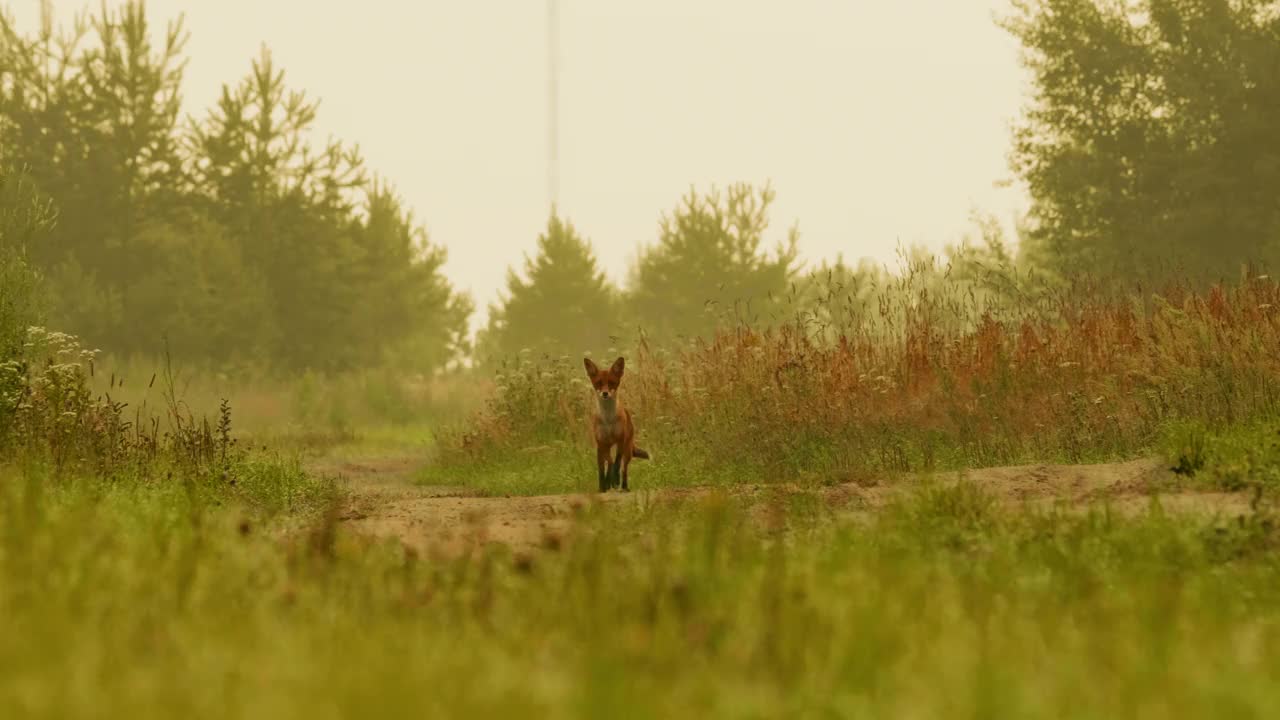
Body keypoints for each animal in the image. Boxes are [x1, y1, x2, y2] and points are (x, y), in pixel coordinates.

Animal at [586, 353, 655, 489]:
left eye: (612, 383)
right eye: (599, 383)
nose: (605, 393)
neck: (608, 419)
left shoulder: (620, 440)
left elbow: (617, 463)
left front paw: (615, 479)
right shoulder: (602, 442)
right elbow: (609, 463)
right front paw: (607, 482)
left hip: (627, 451)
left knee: (624, 470)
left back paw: (623, 486)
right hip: (602, 450)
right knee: (604, 467)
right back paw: (604, 485)